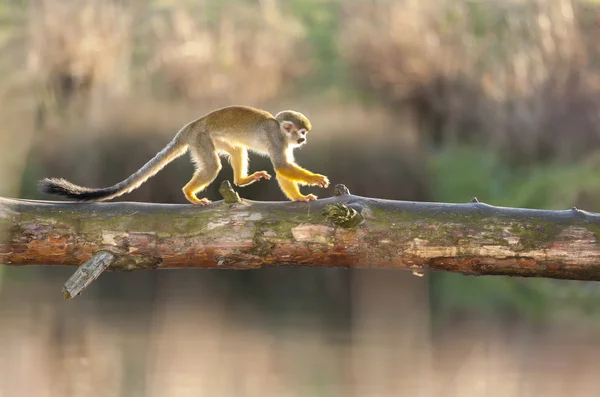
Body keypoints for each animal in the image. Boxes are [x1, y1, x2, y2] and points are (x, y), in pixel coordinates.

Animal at [39, 105, 330, 204]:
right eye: (300, 132)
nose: (303, 139)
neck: (280, 130)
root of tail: (189, 127)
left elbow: (282, 169)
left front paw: (299, 197)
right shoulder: (276, 140)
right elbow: (281, 165)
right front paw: (315, 180)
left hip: (212, 137)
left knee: (235, 148)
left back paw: (240, 181)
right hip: (202, 138)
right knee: (212, 166)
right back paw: (189, 194)